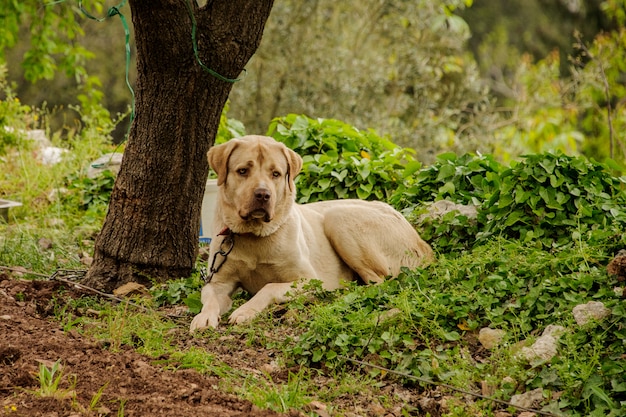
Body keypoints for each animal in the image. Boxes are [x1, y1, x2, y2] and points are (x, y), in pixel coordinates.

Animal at [189, 135, 434, 330]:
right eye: (242, 171)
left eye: (276, 174)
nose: (263, 194)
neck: (254, 234)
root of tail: (424, 245)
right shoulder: (217, 282)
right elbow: (209, 299)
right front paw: (204, 317)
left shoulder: (308, 279)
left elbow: (269, 287)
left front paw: (245, 311)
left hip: (338, 217)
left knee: (379, 283)